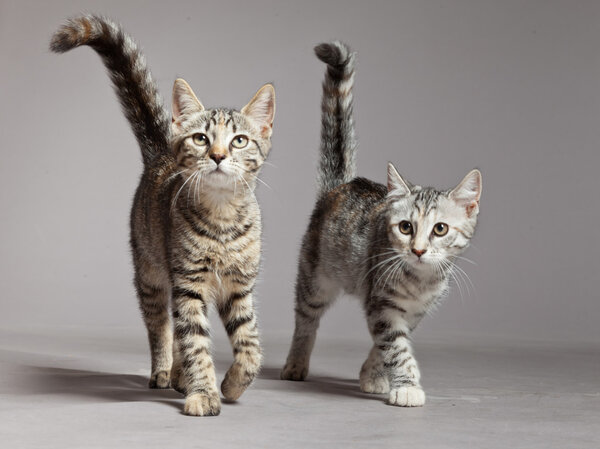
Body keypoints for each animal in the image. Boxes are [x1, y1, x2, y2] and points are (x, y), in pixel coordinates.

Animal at [51, 15, 276, 414]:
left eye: (239, 141)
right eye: (202, 139)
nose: (218, 155)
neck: (222, 219)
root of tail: (161, 152)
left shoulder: (239, 287)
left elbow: (251, 344)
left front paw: (232, 384)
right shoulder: (189, 283)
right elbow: (195, 342)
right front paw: (204, 392)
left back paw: (179, 376)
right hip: (151, 273)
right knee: (162, 327)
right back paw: (165, 372)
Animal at [282, 42, 482, 406]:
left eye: (440, 229)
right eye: (405, 227)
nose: (418, 250)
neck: (420, 282)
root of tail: (340, 185)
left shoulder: (412, 313)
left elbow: (386, 344)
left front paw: (373, 376)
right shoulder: (382, 303)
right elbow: (397, 347)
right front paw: (406, 386)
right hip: (314, 278)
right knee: (305, 321)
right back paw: (295, 364)